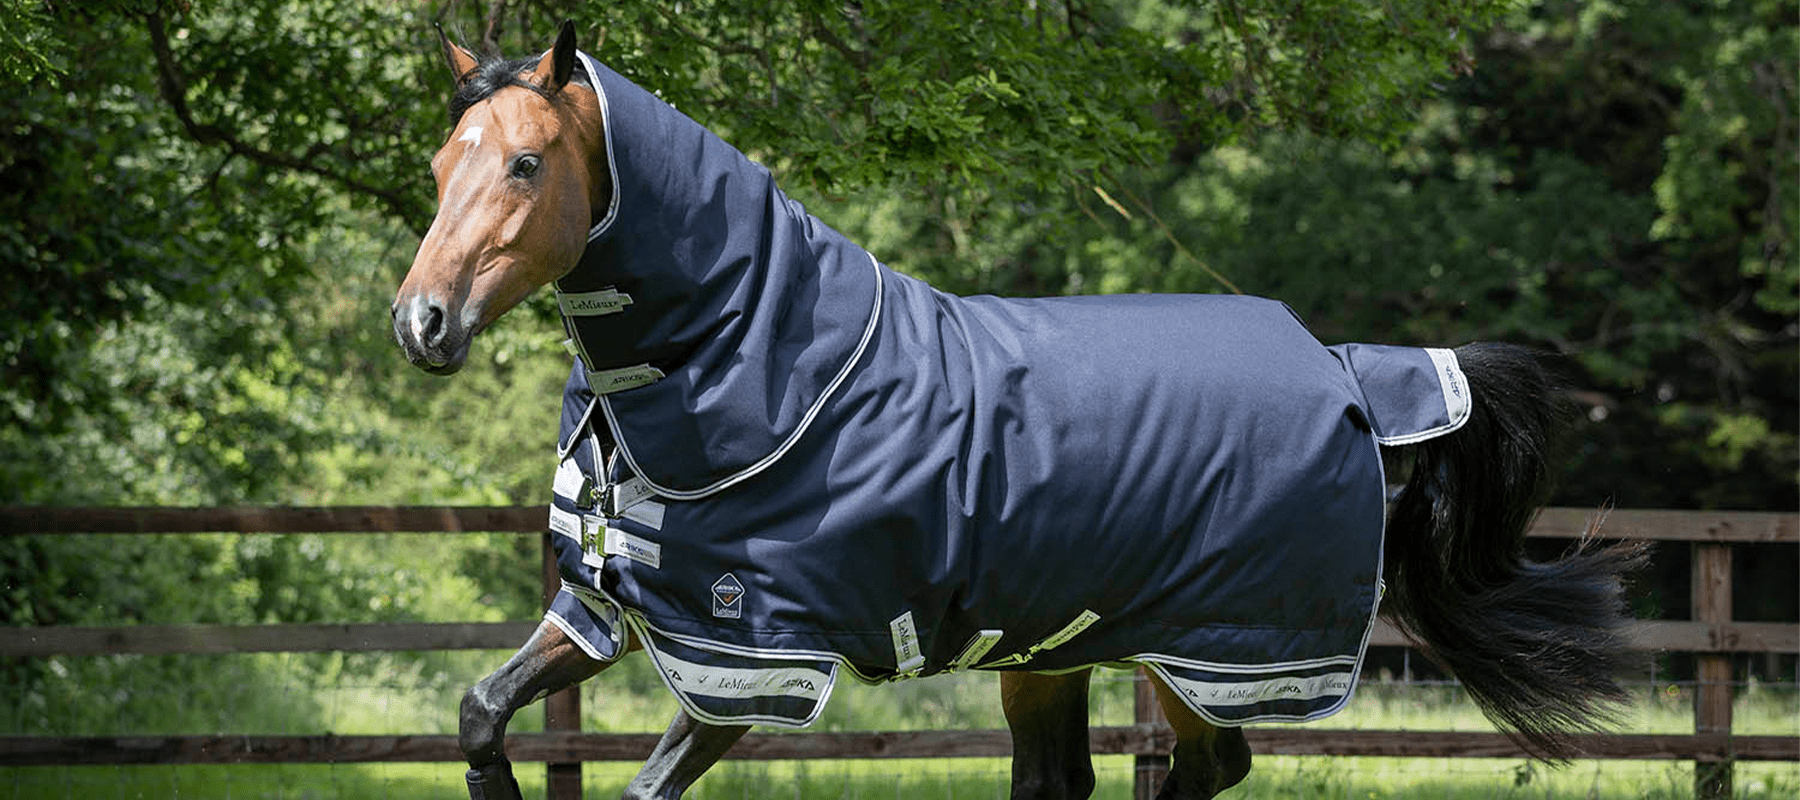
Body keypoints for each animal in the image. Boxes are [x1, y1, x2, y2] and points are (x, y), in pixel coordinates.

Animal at [393, 22, 1643, 800]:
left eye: (525, 162)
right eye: (443, 162)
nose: (421, 321)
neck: (759, 361)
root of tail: (1344, 366)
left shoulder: (754, 661)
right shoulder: (611, 609)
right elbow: (479, 708)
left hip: (1208, 651)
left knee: (1209, 768)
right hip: (1055, 645)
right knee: (1067, 776)